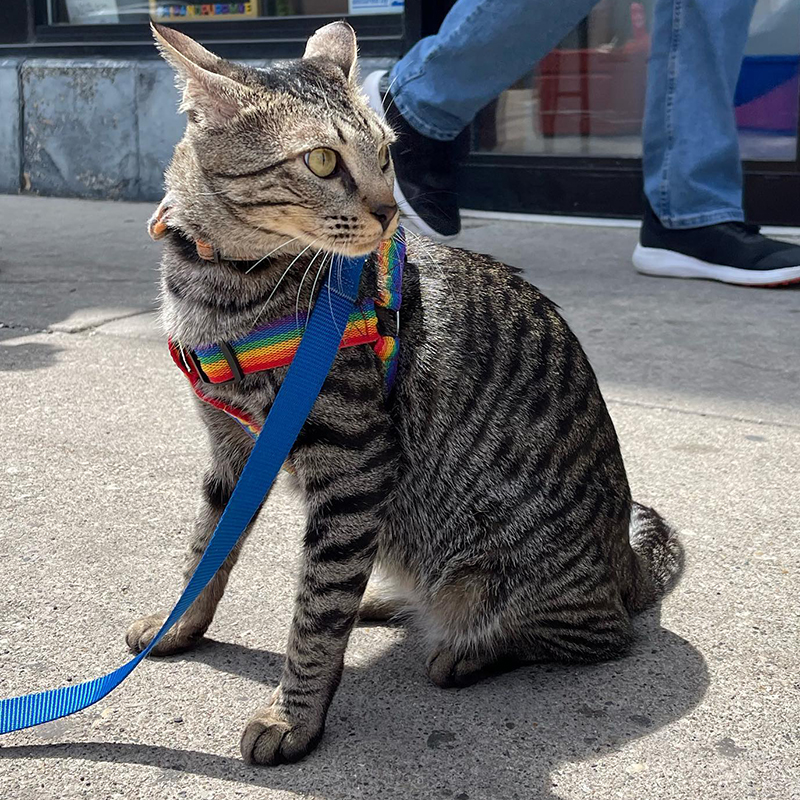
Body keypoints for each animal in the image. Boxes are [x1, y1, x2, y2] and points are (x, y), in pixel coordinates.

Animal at [128, 21, 684, 764]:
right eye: (322, 162)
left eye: (387, 157)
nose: (391, 212)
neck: (218, 288)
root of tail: (624, 563)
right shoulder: (233, 450)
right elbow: (207, 549)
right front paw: (180, 625)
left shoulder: (353, 462)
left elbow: (317, 607)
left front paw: (292, 716)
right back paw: (393, 602)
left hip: (503, 571)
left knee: (598, 634)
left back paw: (471, 649)